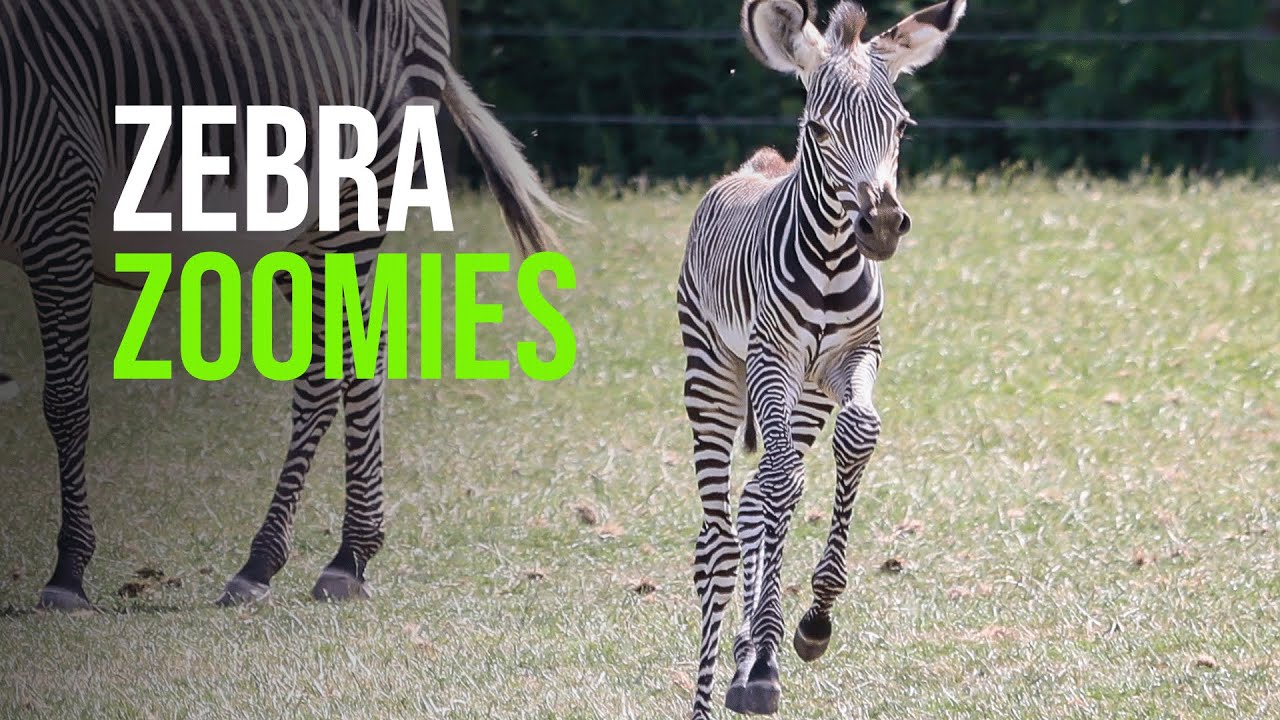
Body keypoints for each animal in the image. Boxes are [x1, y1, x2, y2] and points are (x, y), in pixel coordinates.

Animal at [0, 0, 572, 611]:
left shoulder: (57, 209)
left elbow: (65, 403)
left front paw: (68, 574)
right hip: (296, 228)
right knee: (359, 352)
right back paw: (350, 555)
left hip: (354, 201)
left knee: (327, 370)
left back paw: (278, 564)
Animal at [676, 0, 964, 716]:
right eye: (820, 128)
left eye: (902, 125)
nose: (881, 226)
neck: (833, 260)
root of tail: (754, 164)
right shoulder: (770, 358)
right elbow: (781, 485)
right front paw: (767, 654)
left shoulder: (856, 354)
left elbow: (859, 435)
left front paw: (811, 624)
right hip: (714, 374)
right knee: (719, 537)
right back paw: (718, 683)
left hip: (804, 392)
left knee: (758, 496)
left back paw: (751, 656)